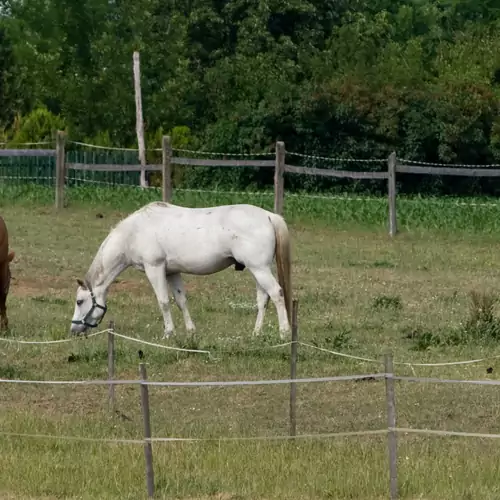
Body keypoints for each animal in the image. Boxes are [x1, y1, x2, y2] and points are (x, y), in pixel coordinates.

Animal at [68, 203, 292, 340]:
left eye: (79, 301)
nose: (74, 330)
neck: (133, 233)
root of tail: (269, 216)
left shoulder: (154, 268)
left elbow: (164, 302)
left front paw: (168, 333)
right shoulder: (171, 272)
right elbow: (181, 301)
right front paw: (191, 332)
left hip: (260, 269)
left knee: (277, 294)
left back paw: (284, 333)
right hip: (258, 270)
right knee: (263, 300)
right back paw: (256, 334)